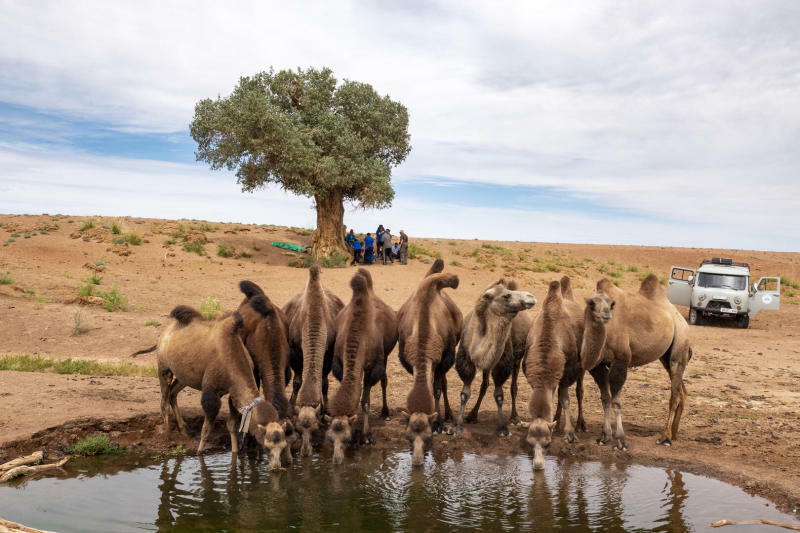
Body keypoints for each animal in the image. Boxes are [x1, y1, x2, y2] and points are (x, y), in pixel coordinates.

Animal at [282, 264, 342, 456]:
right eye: (299, 430)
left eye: (315, 429)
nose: (306, 451)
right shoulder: (295, 351)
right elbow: (297, 381)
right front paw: (291, 408)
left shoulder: (328, 353)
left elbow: (324, 383)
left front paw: (325, 412)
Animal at [520, 280, 584, 468]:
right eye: (529, 442)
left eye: (547, 443)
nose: (538, 464)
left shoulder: (567, 371)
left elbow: (565, 399)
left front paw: (569, 434)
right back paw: (556, 420)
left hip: (582, 366)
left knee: (579, 390)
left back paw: (580, 424)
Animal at [580, 274, 692, 448]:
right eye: (591, 303)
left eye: (612, 304)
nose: (606, 315)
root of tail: (679, 316)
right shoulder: (598, 366)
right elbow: (605, 398)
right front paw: (604, 436)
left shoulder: (621, 359)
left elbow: (616, 401)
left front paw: (620, 440)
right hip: (665, 357)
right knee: (682, 391)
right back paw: (673, 434)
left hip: (680, 343)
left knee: (674, 394)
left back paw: (664, 437)